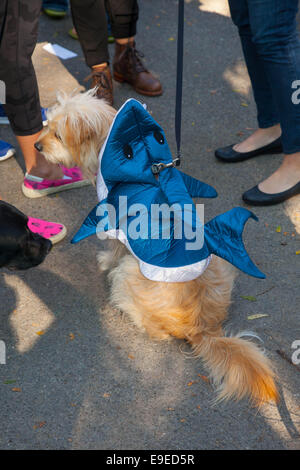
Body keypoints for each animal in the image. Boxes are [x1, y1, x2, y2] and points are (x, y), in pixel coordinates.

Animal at [37, 90, 278, 406]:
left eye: (57, 134)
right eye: (47, 124)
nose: (36, 145)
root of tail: (202, 328)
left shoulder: (118, 225)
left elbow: (114, 250)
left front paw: (105, 260)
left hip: (129, 274)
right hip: (219, 258)